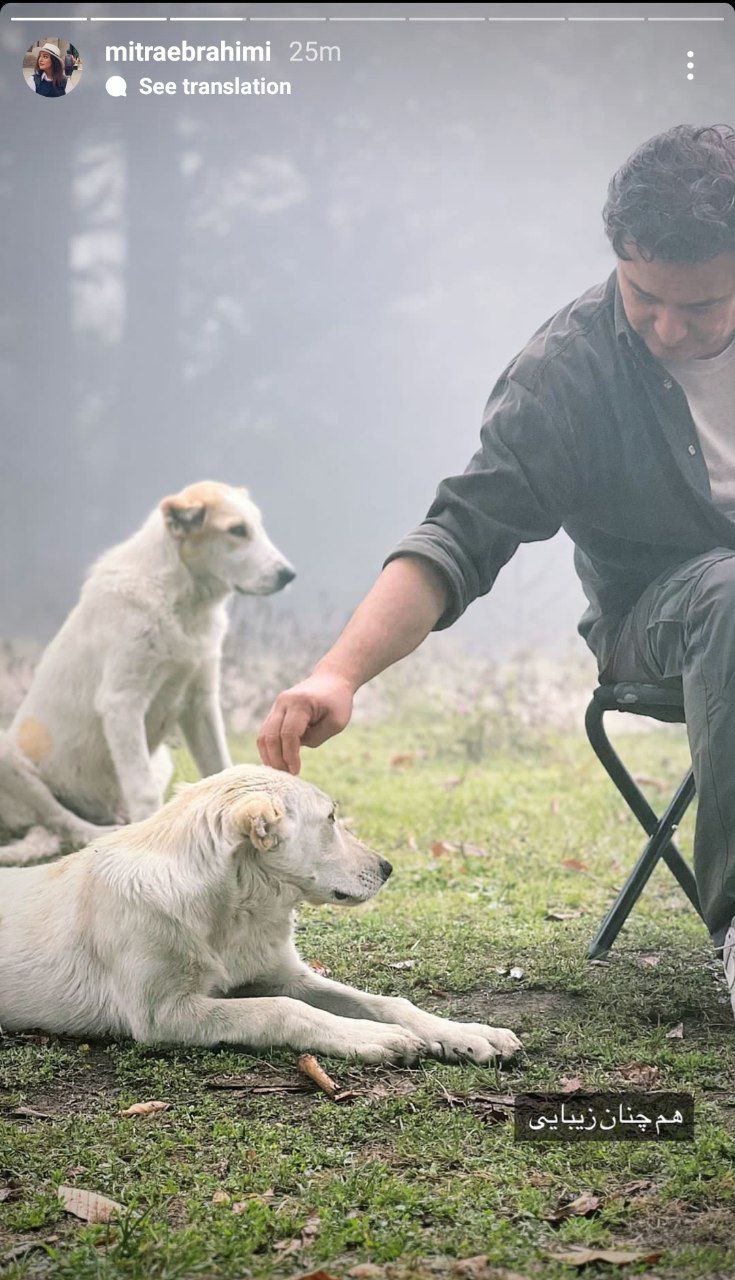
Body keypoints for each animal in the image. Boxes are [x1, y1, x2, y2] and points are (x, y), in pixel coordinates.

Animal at [0, 762, 522, 1064]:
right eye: (331, 818)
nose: (388, 868)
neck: (233, 910)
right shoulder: (163, 1015)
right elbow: (282, 1010)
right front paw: (369, 1037)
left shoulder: (282, 976)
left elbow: (390, 1002)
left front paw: (466, 1034)